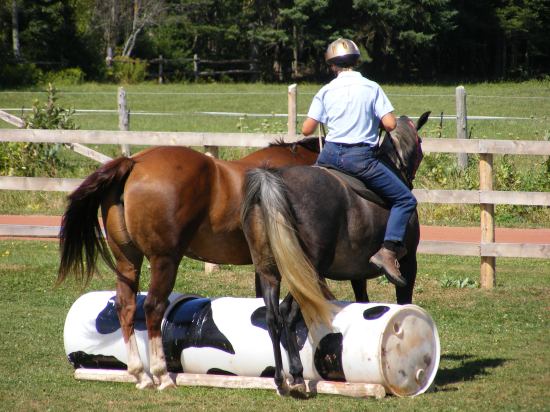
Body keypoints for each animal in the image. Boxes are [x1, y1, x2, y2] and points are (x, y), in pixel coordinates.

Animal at [57, 138, 320, 390]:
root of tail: (134, 163)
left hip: (127, 261)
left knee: (127, 306)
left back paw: (140, 373)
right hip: (165, 260)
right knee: (153, 307)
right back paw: (161, 374)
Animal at [242, 112, 432, 396]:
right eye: (420, 143)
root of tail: (273, 184)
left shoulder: (357, 273)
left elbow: (363, 300)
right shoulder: (409, 262)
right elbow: (403, 297)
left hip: (269, 272)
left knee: (272, 316)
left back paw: (279, 379)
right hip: (306, 270)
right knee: (288, 313)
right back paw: (296, 375)